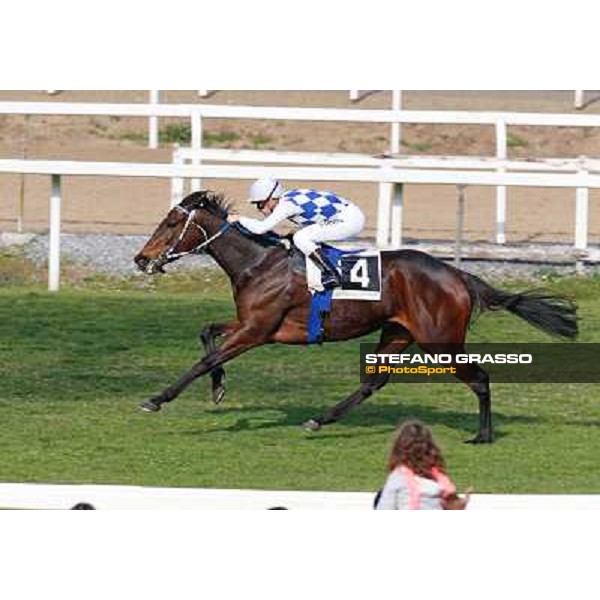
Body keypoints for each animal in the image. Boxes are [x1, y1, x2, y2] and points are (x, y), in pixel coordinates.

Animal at [132, 190, 576, 442]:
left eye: (172, 222)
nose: (140, 259)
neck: (258, 263)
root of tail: (457, 275)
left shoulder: (257, 330)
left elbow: (204, 359)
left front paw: (157, 399)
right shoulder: (252, 324)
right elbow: (206, 334)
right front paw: (219, 388)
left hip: (441, 341)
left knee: (480, 378)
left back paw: (482, 435)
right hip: (396, 333)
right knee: (373, 383)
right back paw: (320, 420)